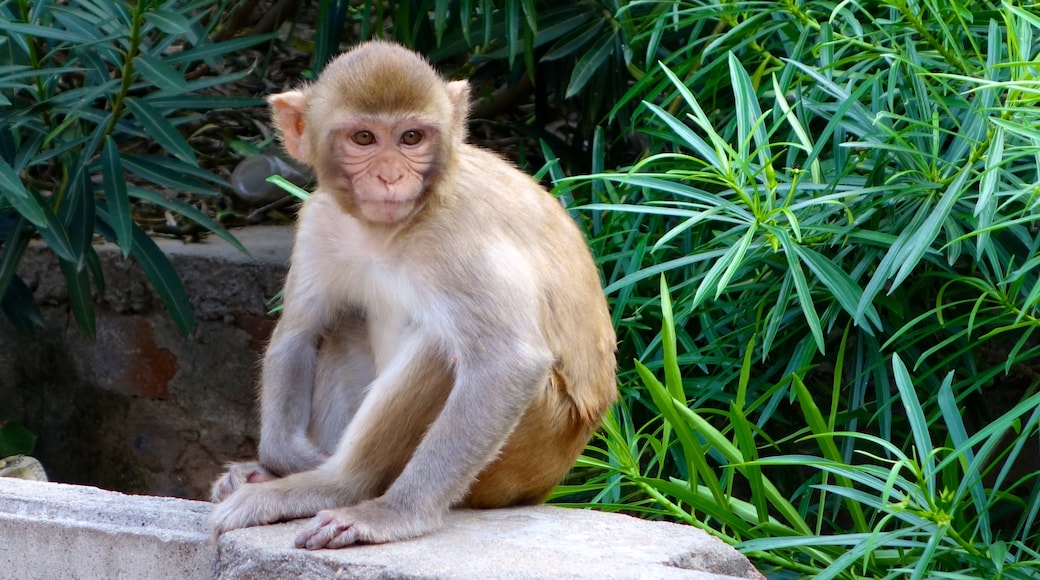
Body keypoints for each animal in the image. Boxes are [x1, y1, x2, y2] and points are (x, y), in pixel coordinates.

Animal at [209, 41, 615, 548]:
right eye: (364, 138)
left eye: (411, 138)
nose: (389, 176)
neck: (389, 230)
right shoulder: (321, 218)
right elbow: (299, 332)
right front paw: (283, 458)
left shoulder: (460, 236)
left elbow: (508, 362)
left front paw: (393, 512)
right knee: (342, 323)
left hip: (525, 455)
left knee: (443, 349)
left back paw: (340, 487)